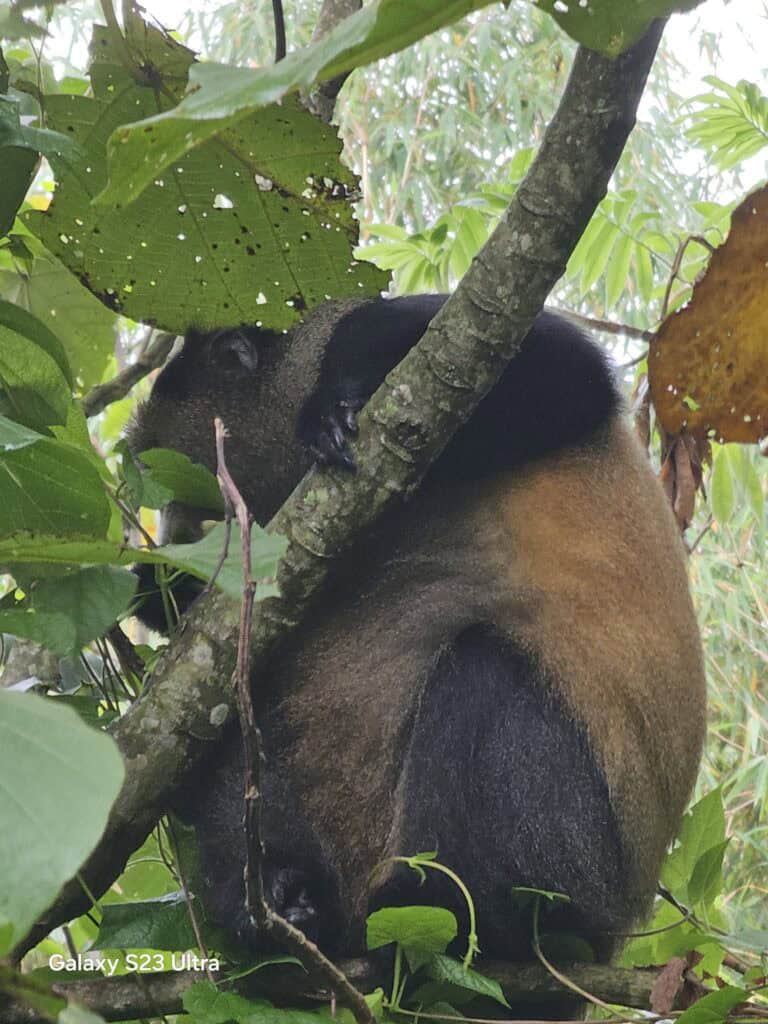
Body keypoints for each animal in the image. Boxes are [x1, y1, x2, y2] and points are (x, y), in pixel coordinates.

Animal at [127, 294, 706, 965]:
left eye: (187, 486)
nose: (172, 536)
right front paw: (160, 590)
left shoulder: (403, 328)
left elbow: (564, 365)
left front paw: (332, 409)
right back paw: (289, 896)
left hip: (585, 858)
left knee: (483, 672)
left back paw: (447, 909)